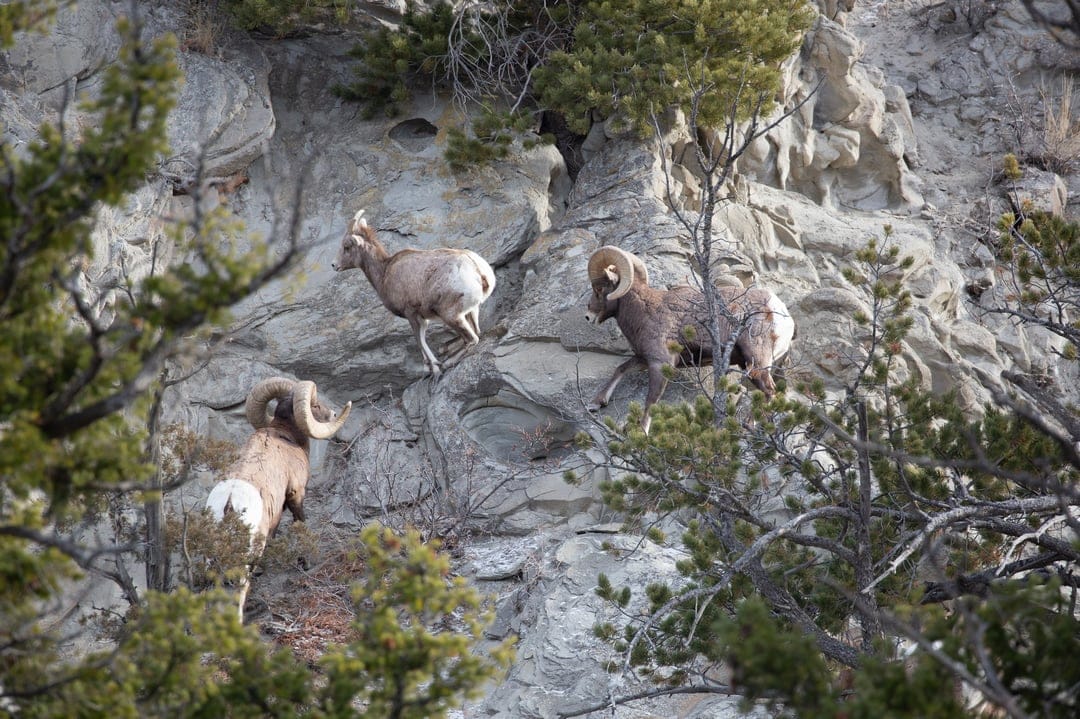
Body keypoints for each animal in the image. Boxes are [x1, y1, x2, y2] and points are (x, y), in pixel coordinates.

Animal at [205, 377, 351, 620]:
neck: (286, 436)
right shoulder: (296, 493)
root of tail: (229, 502)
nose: (331, 414)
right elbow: (300, 523)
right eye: (315, 404)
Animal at [332, 209, 496, 377]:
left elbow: (419, 340)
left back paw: (445, 363)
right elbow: (422, 339)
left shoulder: (411, 313)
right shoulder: (422, 317)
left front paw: (434, 368)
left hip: (450, 315)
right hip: (471, 311)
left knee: (472, 339)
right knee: (476, 333)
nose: (334, 265)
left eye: (347, 246)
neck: (384, 272)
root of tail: (476, 268)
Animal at [584, 245, 795, 433]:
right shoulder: (644, 358)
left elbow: (651, 400)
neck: (645, 310)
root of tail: (781, 312)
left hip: (756, 361)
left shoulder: (661, 363)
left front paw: (642, 431)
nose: (588, 316)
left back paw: (750, 426)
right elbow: (621, 369)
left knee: (769, 391)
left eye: (599, 288)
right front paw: (595, 403)